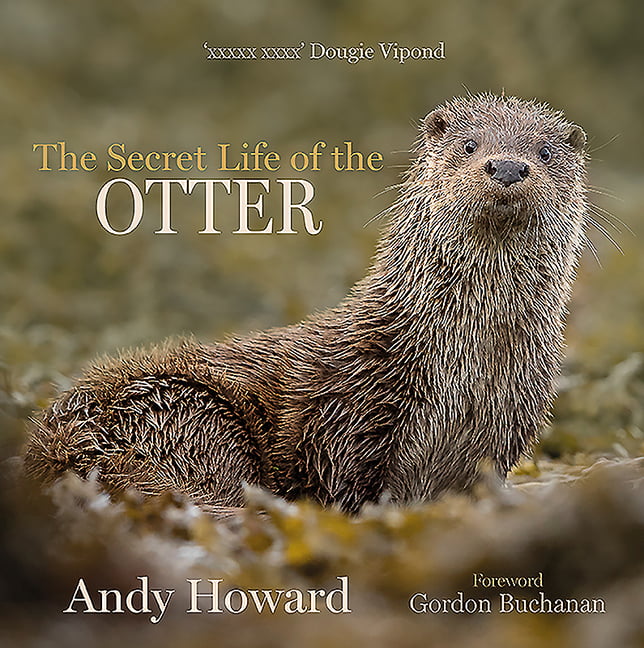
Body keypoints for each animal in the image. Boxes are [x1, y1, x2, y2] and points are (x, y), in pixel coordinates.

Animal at [24, 94, 588, 514]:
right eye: (469, 145)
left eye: (543, 152)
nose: (508, 166)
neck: (469, 367)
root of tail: (57, 444)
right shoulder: (350, 417)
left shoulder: (505, 429)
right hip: (189, 414)